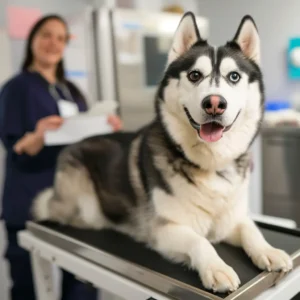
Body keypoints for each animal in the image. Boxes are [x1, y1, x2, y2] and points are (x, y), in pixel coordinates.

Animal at [32, 12, 292, 292]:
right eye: (195, 75)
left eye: (233, 76)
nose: (214, 103)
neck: (210, 165)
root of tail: (75, 142)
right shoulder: (163, 229)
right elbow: (200, 241)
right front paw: (216, 268)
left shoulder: (231, 219)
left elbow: (251, 229)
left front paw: (269, 251)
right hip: (84, 206)